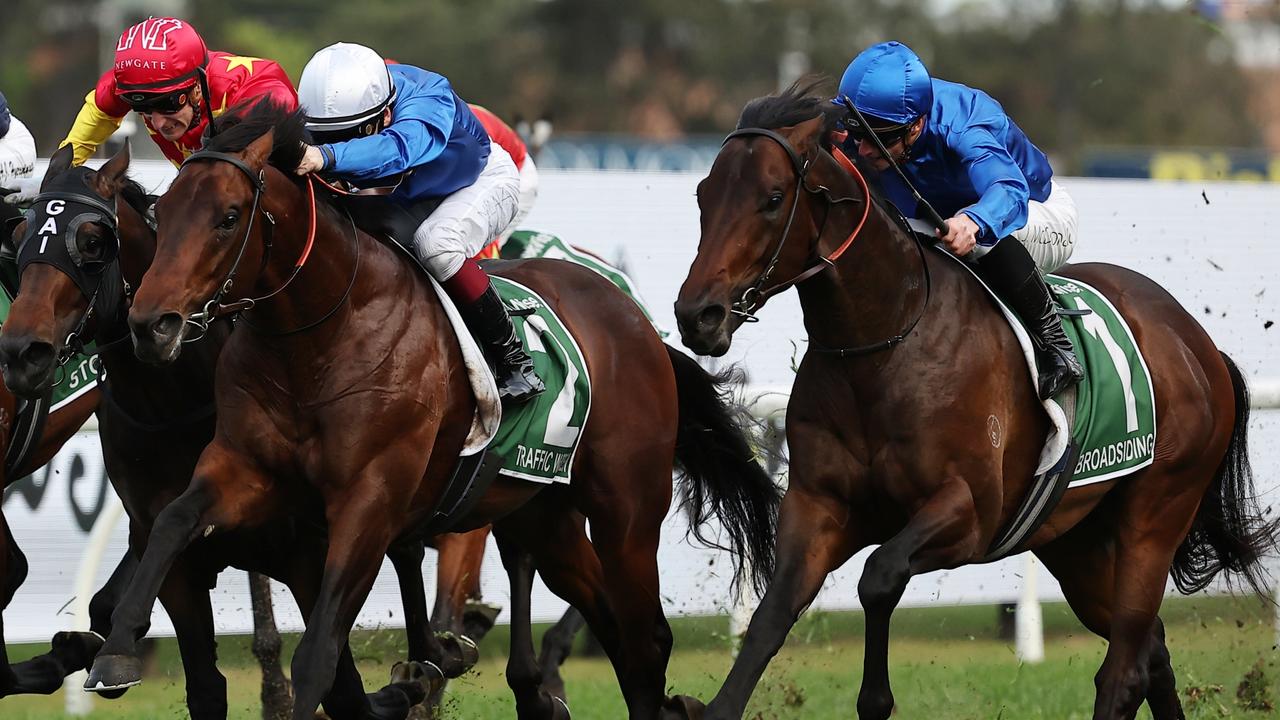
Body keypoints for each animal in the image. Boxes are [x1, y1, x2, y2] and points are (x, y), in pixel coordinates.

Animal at [85, 102, 773, 717]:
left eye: (228, 217)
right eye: (165, 210)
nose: (152, 324)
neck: (320, 334)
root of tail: (637, 321)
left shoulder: (369, 500)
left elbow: (321, 654)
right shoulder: (243, 467)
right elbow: (174, 520)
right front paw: (114, 649)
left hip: (625, 511)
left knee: (645, 636)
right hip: (542, 516)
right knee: (612, 624)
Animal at [665, 82, 1274, 717]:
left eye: (773, 197)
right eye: (704, 195)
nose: (697, 314)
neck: (886, 344)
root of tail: (1198, 343)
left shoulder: (969, 513)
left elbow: (878, 576)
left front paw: (876, 695)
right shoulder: (818, 507)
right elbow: (771, 616)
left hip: (1155, 515)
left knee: (1126, 666)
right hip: (1076, 539)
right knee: (1151, 650)